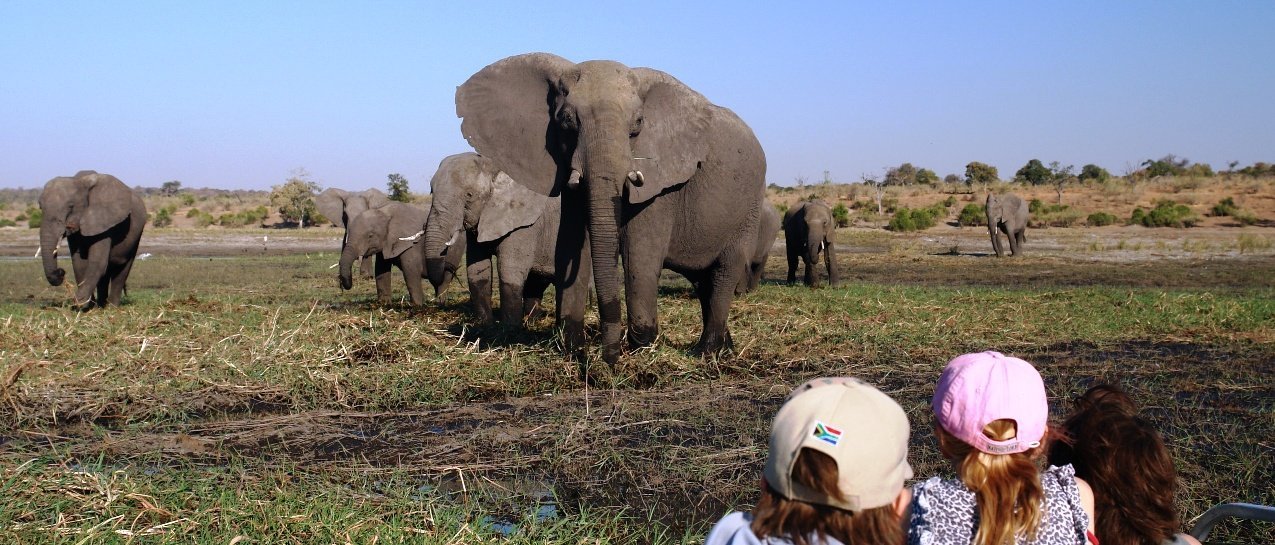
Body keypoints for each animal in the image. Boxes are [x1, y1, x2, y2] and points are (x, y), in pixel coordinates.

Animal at [38, 171, 146, 308]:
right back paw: (100, 305)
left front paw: (79, 302)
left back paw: (112, 307)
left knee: (122, 270)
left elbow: (97, 262)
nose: (61, 271)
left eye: (71, 206)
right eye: (40, 207)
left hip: (136, 235)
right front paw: (87, 306)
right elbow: (79, 263)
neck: (81, 181)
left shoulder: (104, 222)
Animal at [456, 55, 765, 365]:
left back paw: (706, 353)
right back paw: (725, 348)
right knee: (704, 283)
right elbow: (570, 242)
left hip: (750, 209)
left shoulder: (662, 183)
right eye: (566, 121)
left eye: (639, 123)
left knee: (724, 273)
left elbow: (640, 252)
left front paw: (641, 347)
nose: (608, 359)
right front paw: (572, 347)